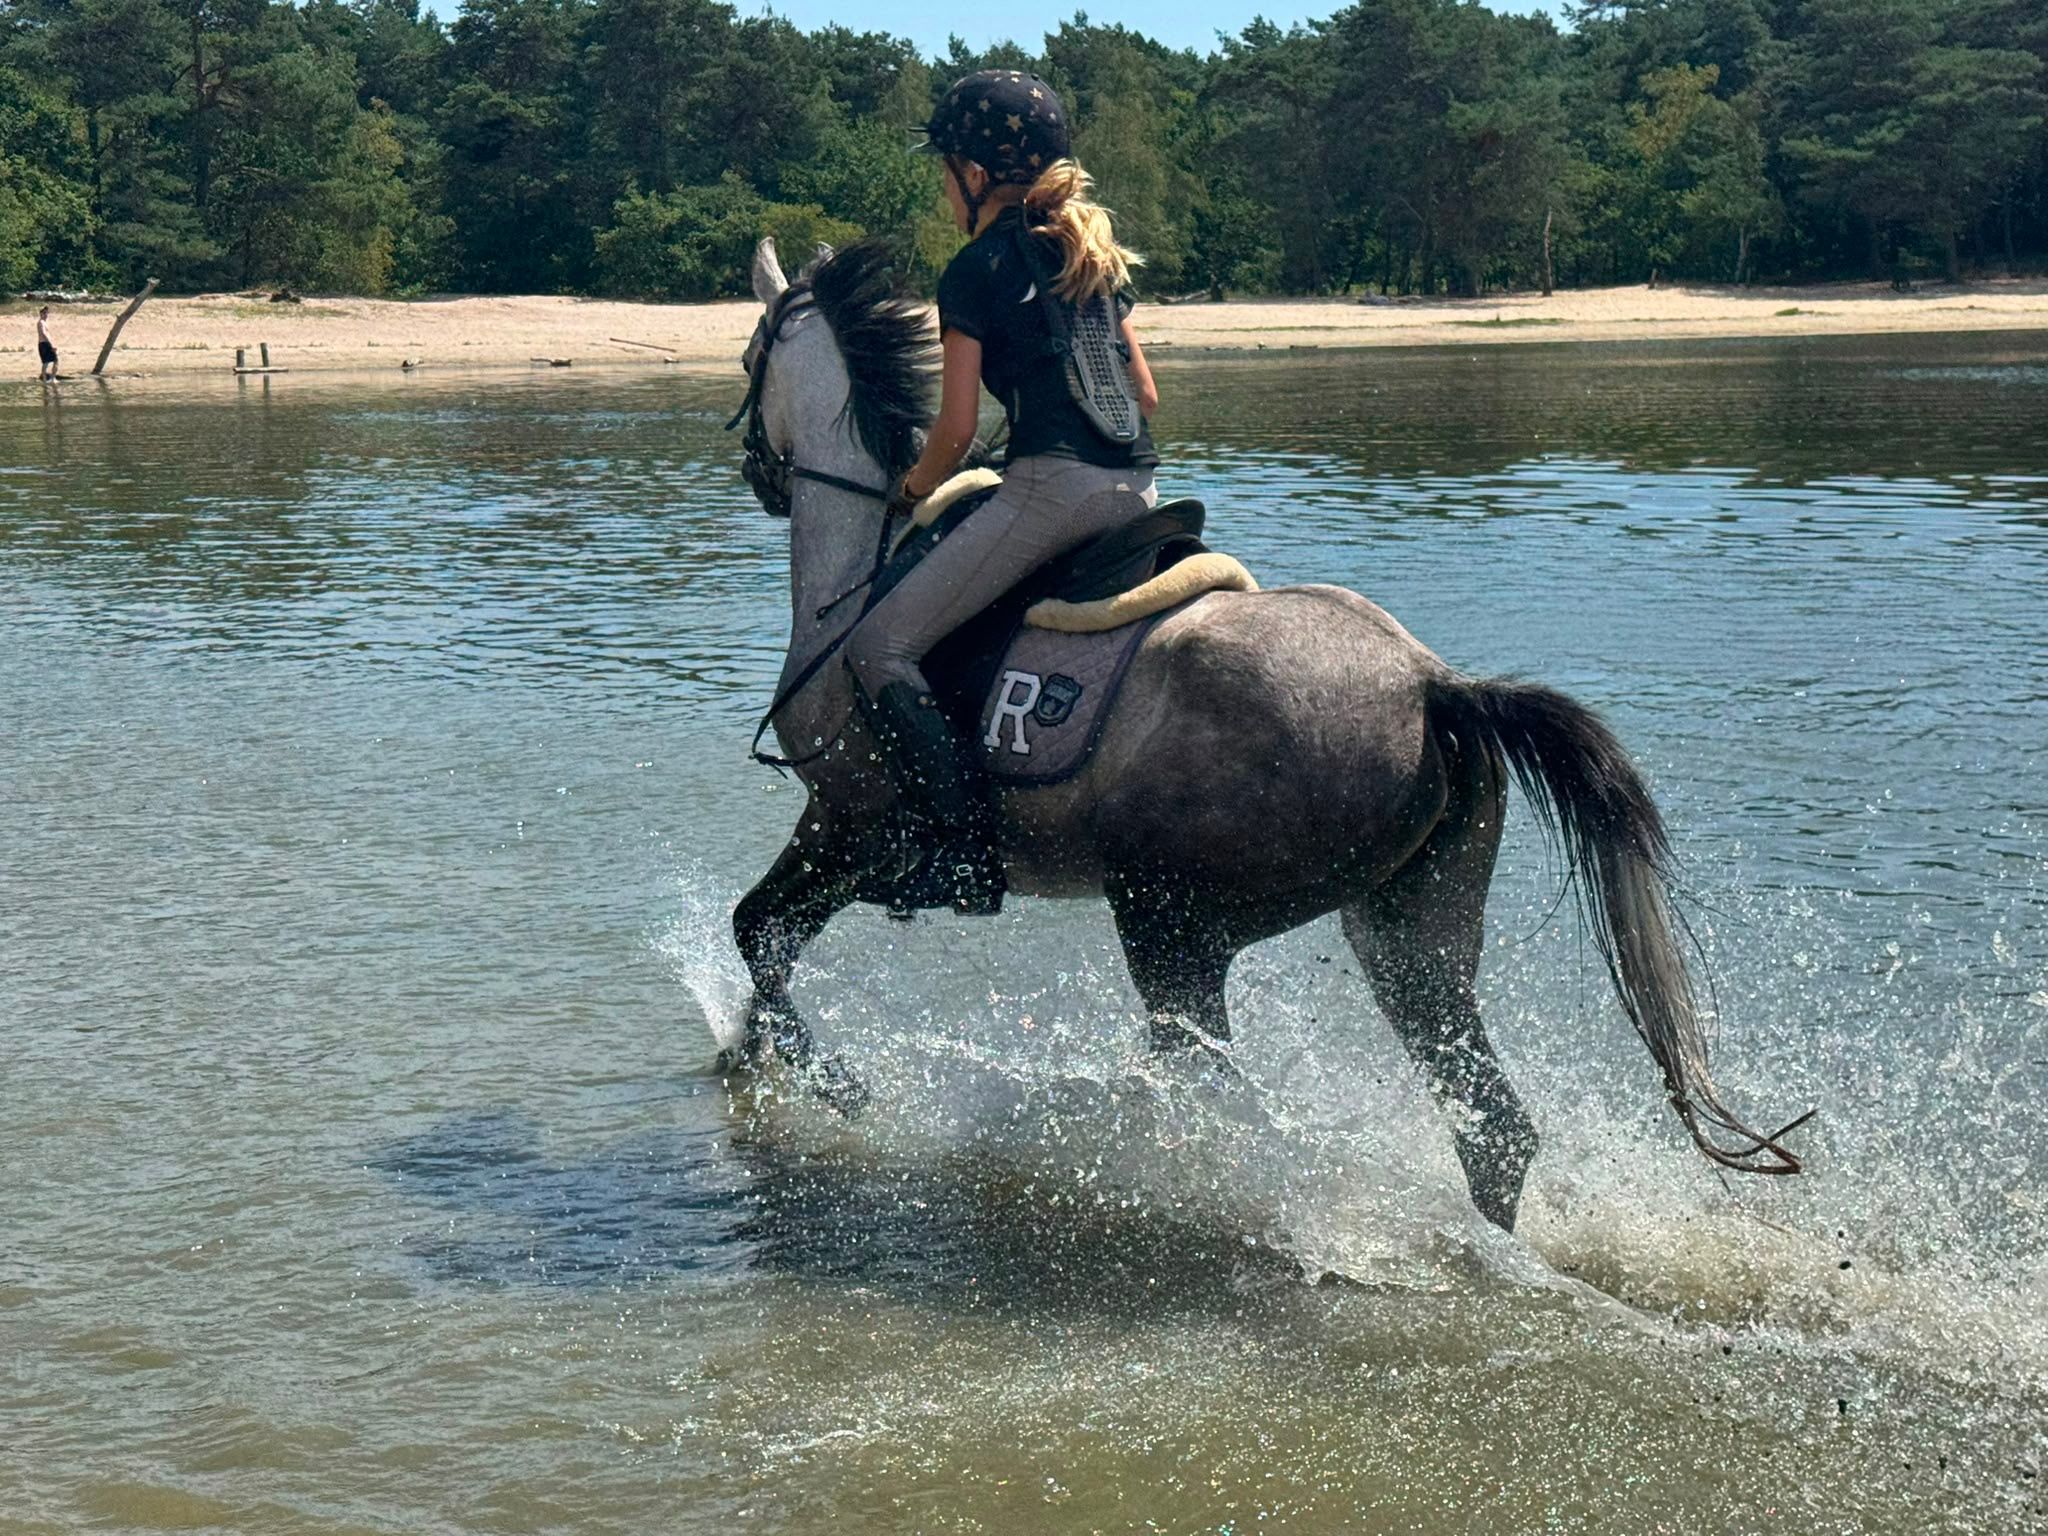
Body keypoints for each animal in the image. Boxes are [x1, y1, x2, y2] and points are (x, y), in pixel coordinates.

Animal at [720, 236, 1804, 1232]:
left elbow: (756, 933)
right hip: (1407, 934)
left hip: (1172, 927)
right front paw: (756, 1062)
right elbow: (763, 941)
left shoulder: (852, 828)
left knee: (1227, 1100)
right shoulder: (849, 839)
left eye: (749, 360)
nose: (759, 477)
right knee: (1488, 1124)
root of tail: (1431, 686)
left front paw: (822, 1082)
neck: (862, 579)